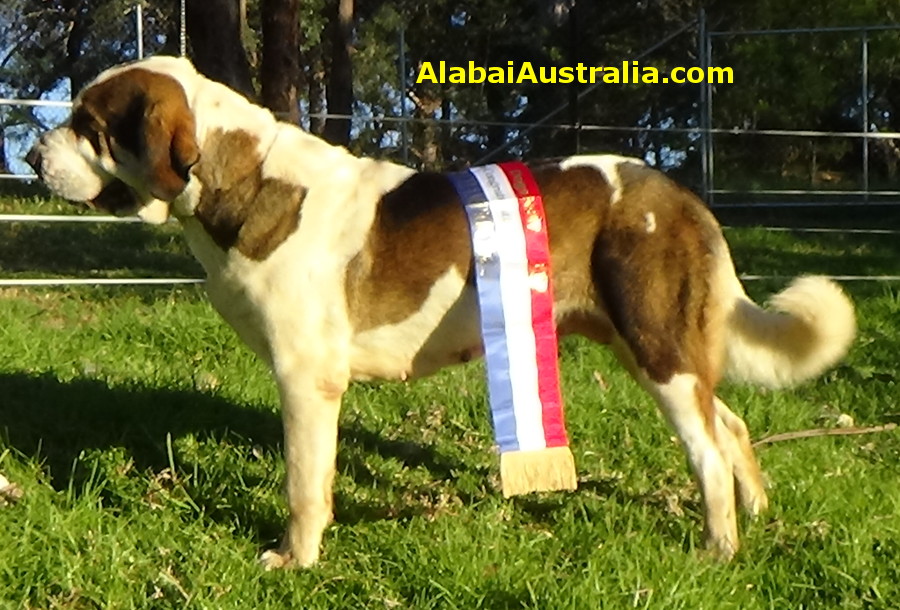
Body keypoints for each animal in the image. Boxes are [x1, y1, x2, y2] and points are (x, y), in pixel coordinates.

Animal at [26, 55, 856, 564]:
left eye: (89, 124)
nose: (31, 158)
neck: (245, 181)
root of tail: (678, 191)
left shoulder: (306, 382)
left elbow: (304, 485)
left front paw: (295, 560)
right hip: (648, 343)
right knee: (732, 425)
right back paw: (756, 516)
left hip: (654, 343)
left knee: (707, 450)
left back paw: (718, 549)